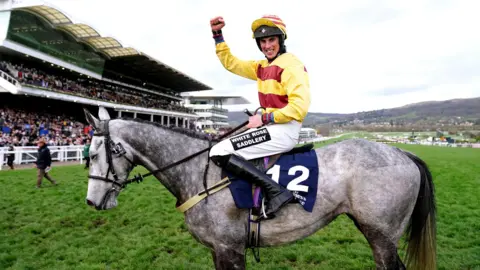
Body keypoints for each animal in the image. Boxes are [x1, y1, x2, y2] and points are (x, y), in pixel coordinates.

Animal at [84, 107, 436, 270]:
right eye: (85, 153)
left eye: (99, 152)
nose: (91, 201)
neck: (199, 171)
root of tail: (402, 152)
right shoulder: (217, 249)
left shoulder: (230, 247)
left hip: (382, 235)